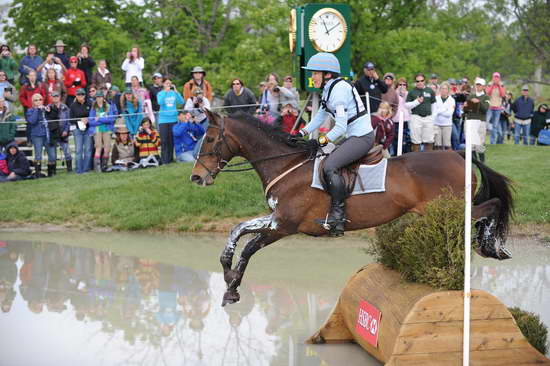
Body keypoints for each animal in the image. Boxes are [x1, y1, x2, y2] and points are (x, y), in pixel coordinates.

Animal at [192, 110, 516, 304]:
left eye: (210, 139)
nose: (196, 177)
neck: (286, 165)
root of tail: (459, 154)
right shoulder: (275, 218)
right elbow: (236, 231)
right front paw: (227, 273)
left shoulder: (284, 225)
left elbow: (249, 247)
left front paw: (232, 285)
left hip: (451, 208)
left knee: (493, 205)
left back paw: (492, 246)